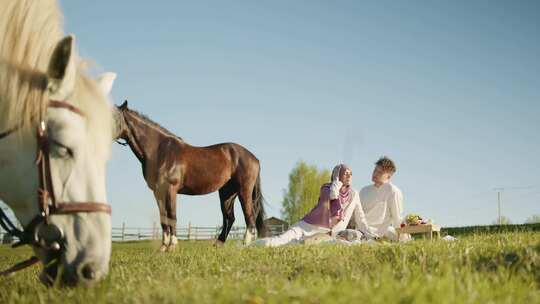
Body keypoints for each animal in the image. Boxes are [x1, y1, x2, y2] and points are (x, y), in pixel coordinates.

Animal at [114, 101, 268, 251]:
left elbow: (172, 216)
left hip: (244, 191)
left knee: (249, 216)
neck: (161, 151)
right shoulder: (158, 192)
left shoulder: (170, 189)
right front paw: (163, 247)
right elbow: (163, 218)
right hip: (227, 193)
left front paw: (173, 246)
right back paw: (218, 245)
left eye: (115, 117)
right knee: (229, 218)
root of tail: (254, 158)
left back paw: (245, 244)